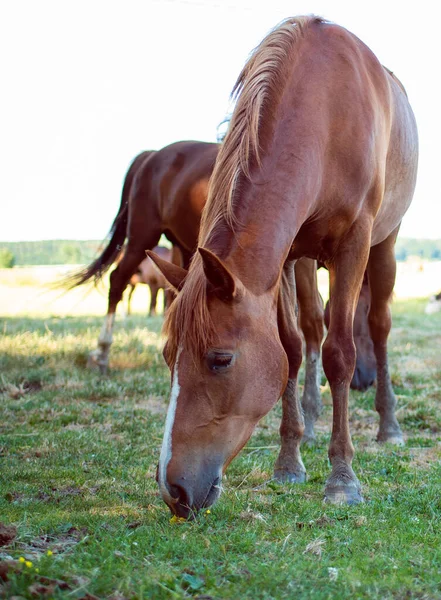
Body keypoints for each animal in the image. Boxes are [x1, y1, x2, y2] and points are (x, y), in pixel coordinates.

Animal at [150, 17, 418, 516]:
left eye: (220, 360)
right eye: (166, 356)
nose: (172, 490)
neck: (323, 113)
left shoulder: (354, 244)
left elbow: (341, 353)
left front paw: (342, 477)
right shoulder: (285, 257)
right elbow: (291, 349)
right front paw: (289, 460)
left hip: (384, 244)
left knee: (377, 325)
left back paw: (388, 424)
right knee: (312, 327)